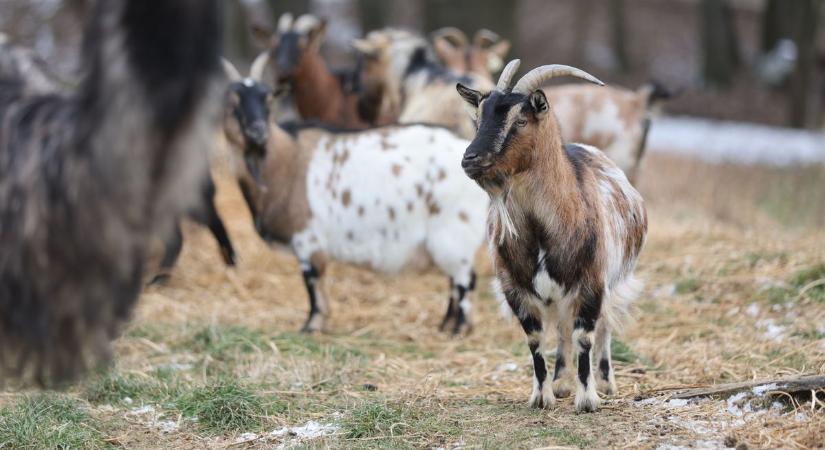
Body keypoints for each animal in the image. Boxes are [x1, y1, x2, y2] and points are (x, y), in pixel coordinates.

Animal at [222, 56, 486, 336]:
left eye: (267, 99)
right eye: (232, 103)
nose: (257, 131)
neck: (287, 160)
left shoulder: (307, 238)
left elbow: (312, 282)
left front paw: (311, 325)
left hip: (453, 232)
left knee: (465, 280)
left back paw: (459, 328)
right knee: (454, 281)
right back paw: (446, 325)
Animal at [454, 59, 648, 412]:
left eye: (520, 119)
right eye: (478, 118)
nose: (470, 159)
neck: (542, 228)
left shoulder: (592, 282)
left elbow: (585, 336)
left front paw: (588, 400)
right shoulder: (514, 286)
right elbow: (535, 339)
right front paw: (542, 396)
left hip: (613, 281)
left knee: (604, 325)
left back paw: (605, 382)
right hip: (559, 294)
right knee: (560, 328)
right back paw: (560, 383)